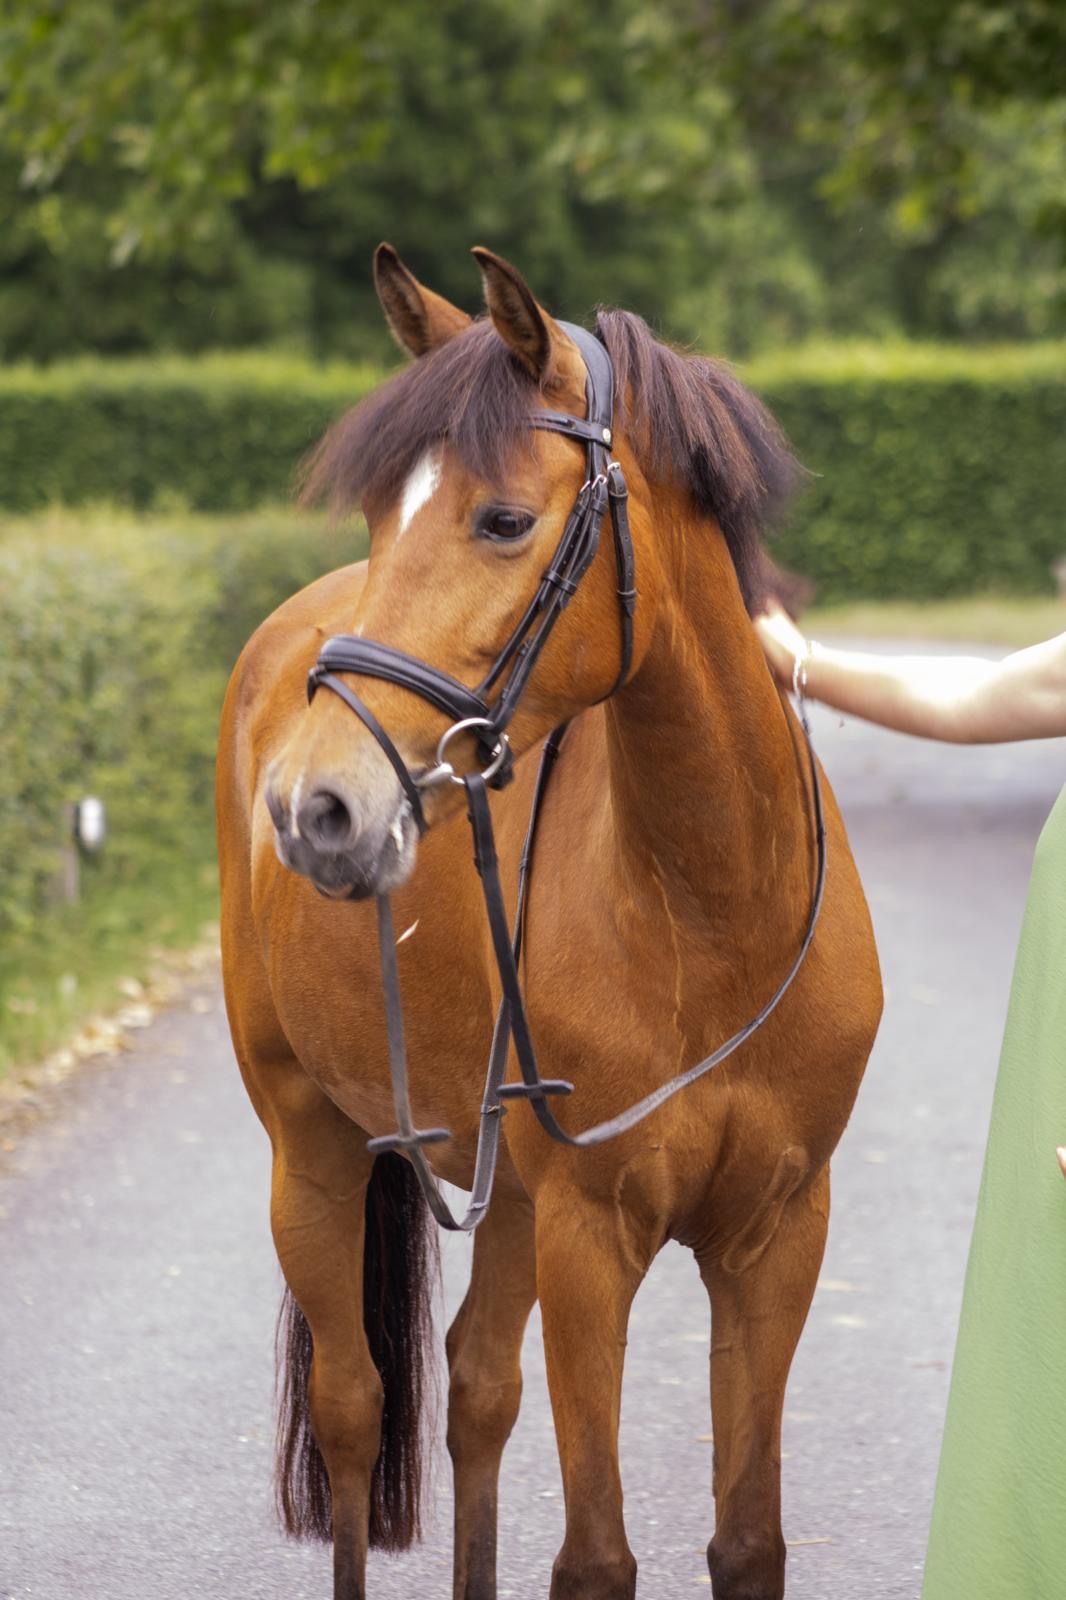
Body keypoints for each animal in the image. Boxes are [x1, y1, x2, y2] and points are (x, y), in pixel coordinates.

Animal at [216, 243, 882, 1600]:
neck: (711, 907)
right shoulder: (592, 1239)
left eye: (504, 519)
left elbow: (748, 1538)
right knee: (357, 1403)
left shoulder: (776, 1236)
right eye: (380, 519)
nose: (314, 807)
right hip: (310, 1147)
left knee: (475, 1388)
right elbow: (595, 1556)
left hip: (505, 1187)